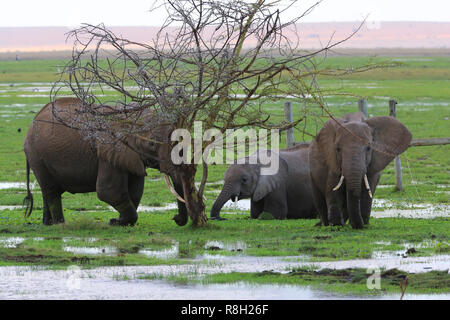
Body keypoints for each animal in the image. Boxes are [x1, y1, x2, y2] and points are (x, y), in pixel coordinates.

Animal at [23, 97, 191, 225]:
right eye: (152, 144)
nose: (175, 218)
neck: (131, 117)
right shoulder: (108, 151)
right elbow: (109, 191)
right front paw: (115, 222)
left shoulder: (130, 156)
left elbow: (135, 191)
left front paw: (120, 222)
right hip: (36, 155)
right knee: (51, 191)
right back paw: (60, 224)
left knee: (49, 191)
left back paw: (48, 223)